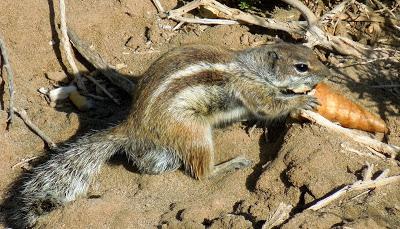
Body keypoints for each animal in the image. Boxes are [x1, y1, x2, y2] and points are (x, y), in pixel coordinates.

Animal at [7, 42, 330, 226]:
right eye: (301, 66)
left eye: (312, 54)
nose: (327, 73)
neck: (252, 67)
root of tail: (134, 126)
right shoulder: (250, 88)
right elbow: (269, 105)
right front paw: (301, 100)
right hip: (194, 133)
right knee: (201, 172)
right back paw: (231, 164)